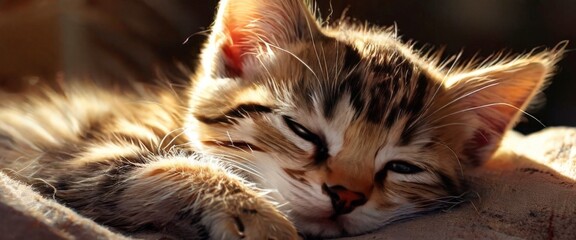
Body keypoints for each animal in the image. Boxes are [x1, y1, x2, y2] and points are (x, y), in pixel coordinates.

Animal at [0, 0, 564, 239]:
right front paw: (256, 216)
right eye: (302, 132)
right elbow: (169, 165)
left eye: (404, 168)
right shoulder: (69, 157)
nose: (345, 195)